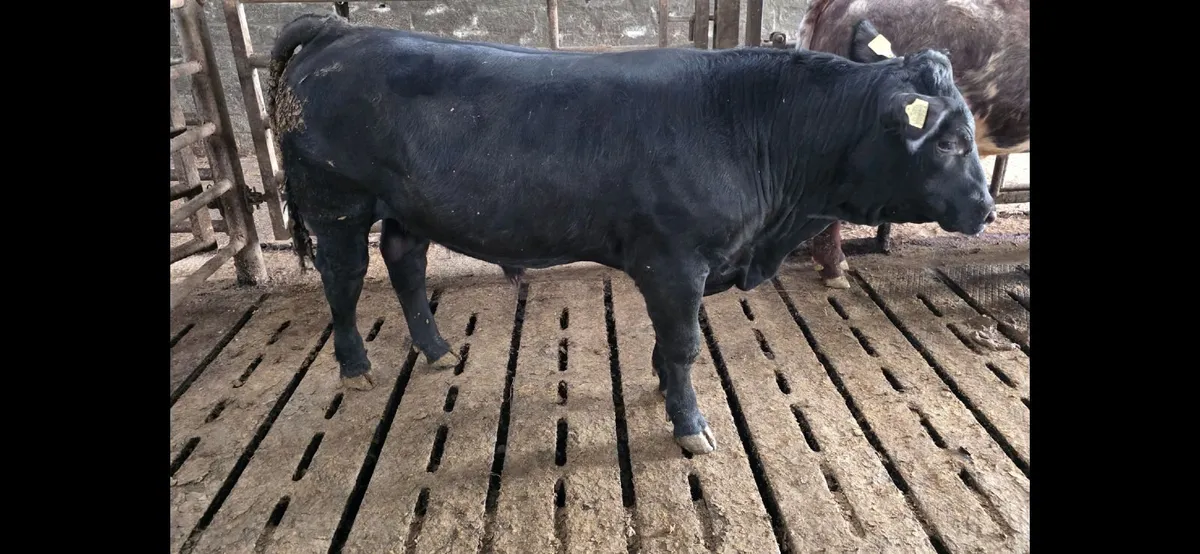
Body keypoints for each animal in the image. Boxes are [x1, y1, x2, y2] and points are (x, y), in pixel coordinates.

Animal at [265, 13, 995, 456]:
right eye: (950, 139)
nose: (987, 207)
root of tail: (340, 29)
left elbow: (672, 344)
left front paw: (661, 390)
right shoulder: (674, 262)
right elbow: (686, 345)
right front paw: (691, 426)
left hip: (408, 207)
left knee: (405, 260)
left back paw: (438, 349)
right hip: (336, 204)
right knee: (344, 278)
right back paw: (356, 366)